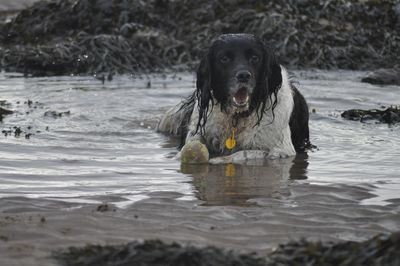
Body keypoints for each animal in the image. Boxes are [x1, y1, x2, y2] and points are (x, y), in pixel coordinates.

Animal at [158, 33, 310, 162]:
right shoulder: (198, 130)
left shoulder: (282, 150)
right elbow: (190, 143)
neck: (237, 117)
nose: (244, 76)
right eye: (224, 59)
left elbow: (243, 154)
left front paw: (218, 160)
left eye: (255, 58)